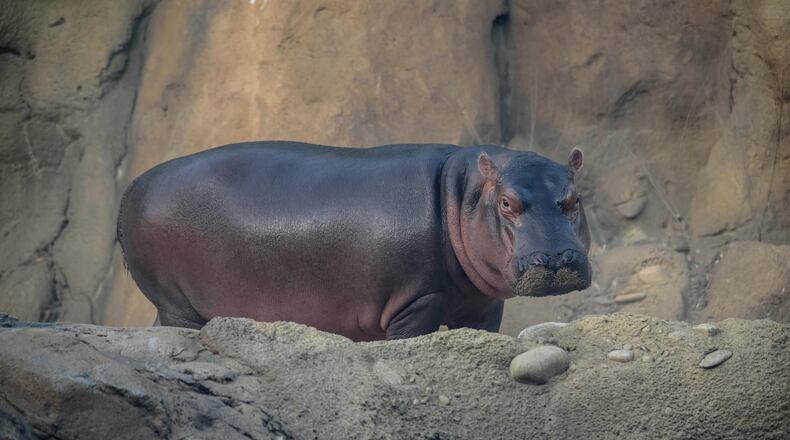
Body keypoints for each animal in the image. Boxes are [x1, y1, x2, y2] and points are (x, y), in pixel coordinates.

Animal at [117, 141, 591, 340]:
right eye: (507, 202)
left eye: (575, 198)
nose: (557, 259)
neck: (460, 192)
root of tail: (132, 187)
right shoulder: (417, 301)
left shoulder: (482, 305)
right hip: (177, 303)